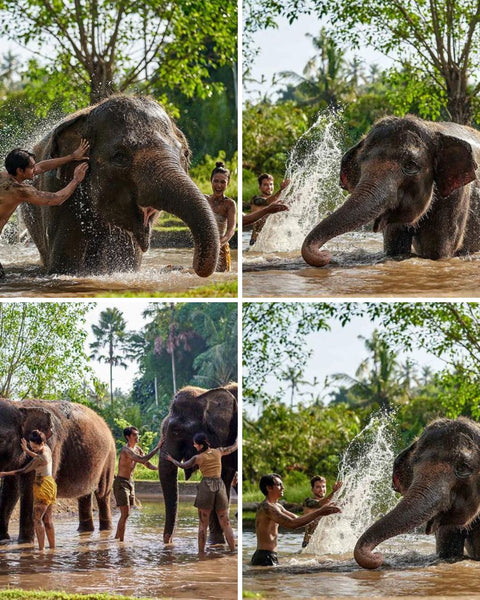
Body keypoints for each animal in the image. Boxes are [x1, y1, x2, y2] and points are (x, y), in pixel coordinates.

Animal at [0, 398, 116, 544]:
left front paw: (25, 543)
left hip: (110, 456)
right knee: (84, 495)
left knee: (102, 493)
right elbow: (10, 489)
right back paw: (85, 531)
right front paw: (3, 539)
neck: (19, 405)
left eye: (2, 439)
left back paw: (105, 531)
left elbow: (31, 486)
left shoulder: (52, 445)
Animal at [302, 116, 480, 266]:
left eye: (410, 165)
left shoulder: (456, 197)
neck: (430, 126)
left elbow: (436, 251)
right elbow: (395, 247)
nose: (326, 254)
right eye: (360, 162)